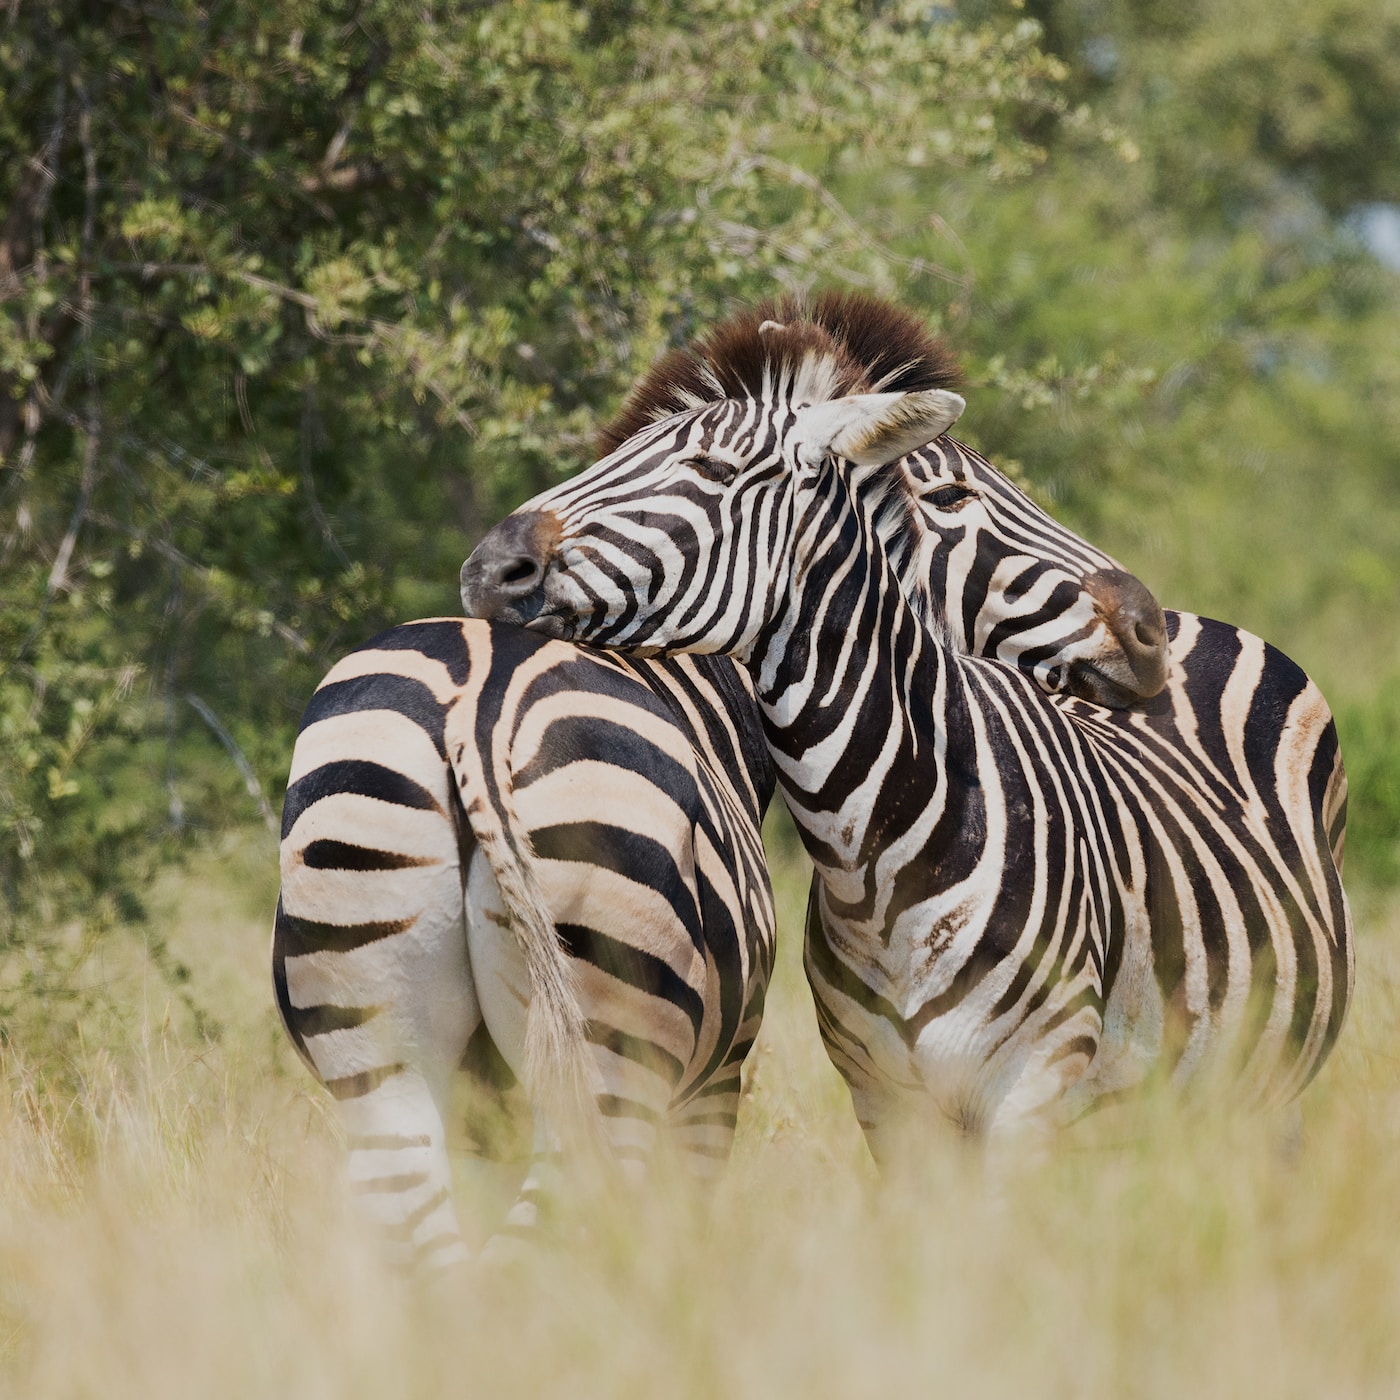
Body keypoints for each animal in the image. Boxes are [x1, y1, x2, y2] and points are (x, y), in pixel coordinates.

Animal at [273, 289, 1170, 1265]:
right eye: (949, 495)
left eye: (704, 463)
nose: (1152, 627)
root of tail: (476, 705)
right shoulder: (716, 1080)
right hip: (609, 1053)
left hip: (382, 1049)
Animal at [467, 306, 1355, 1159]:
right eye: (952, 496)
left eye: (712, 472)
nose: (486, 567)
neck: (880, 856)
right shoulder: (885, 1101)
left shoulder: (1032, 1087)